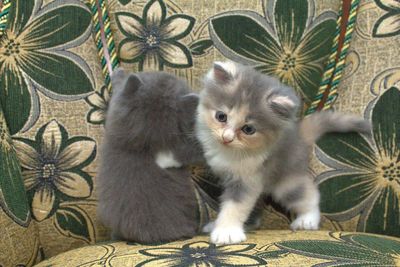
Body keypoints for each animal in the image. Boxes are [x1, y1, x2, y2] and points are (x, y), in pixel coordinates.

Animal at [197, 61, 372, 246]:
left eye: (248, 129)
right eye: (221, 116)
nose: (226, 138)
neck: (230, 152)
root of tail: (299, 135)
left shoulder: (247, 179)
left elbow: (234, 206)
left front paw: (226, 232)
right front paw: (219, 225)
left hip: (286, 180)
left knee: (308, 194)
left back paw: (307, 219)